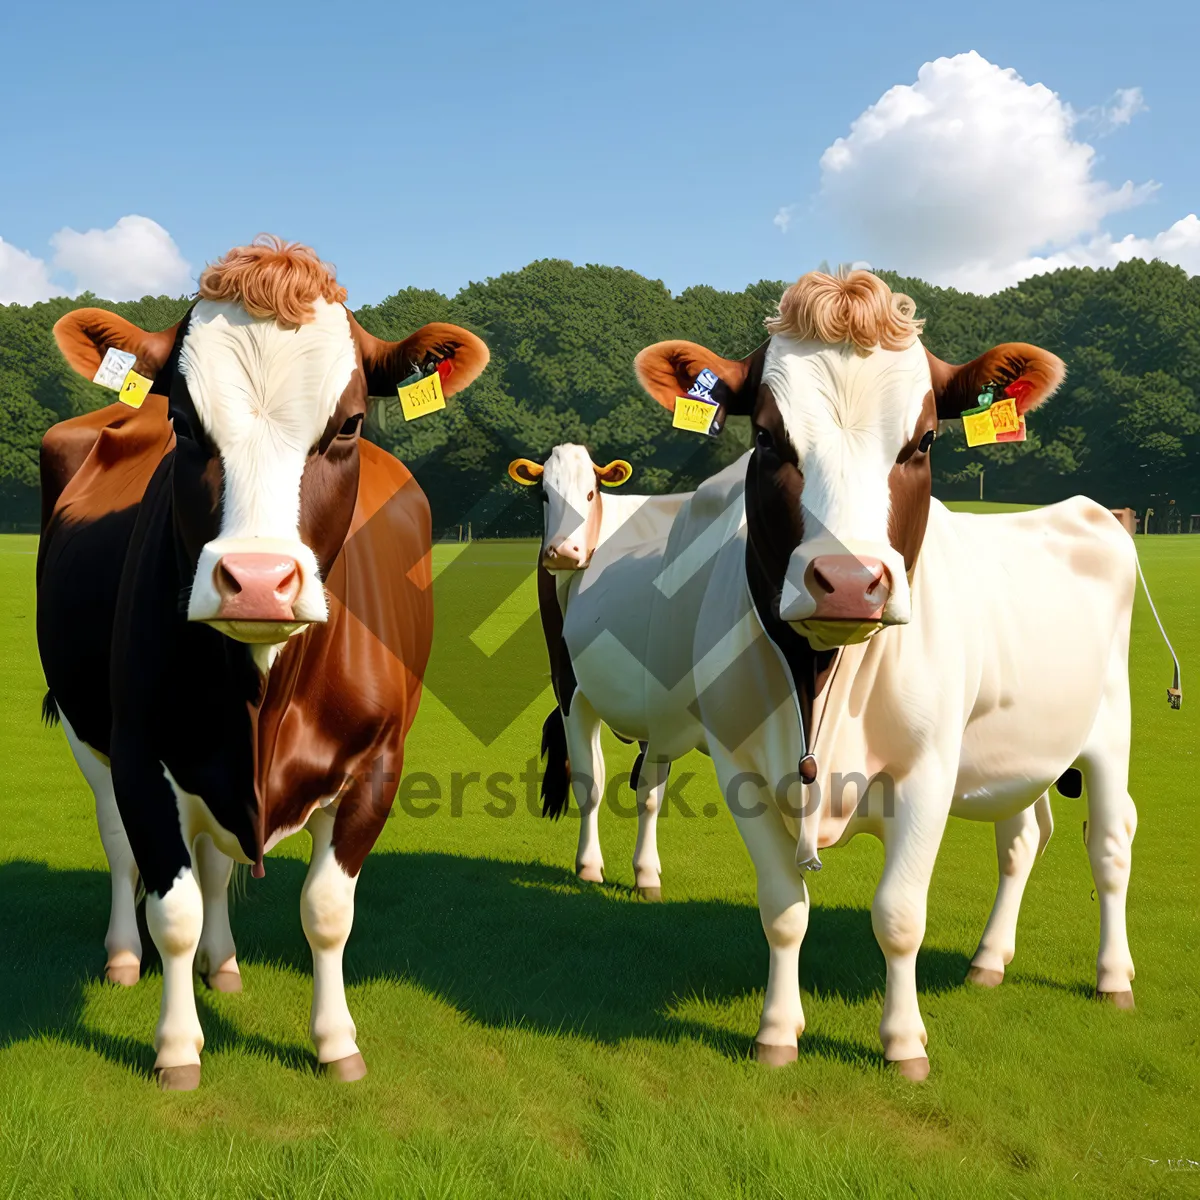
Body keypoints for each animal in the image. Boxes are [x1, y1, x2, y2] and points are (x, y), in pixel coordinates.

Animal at [38, 234, 487, 1089]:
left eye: (348, 425)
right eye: (182, 421)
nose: (255, 579)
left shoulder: (378, 760)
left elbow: (326, 910)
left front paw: (336, 1043)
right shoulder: (141, 753)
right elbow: (170, 909)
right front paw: (177, 1049)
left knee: (216, 865)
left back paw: (225, 965)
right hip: (88, 734)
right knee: (119, 846)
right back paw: (123, 956)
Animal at [633, 270, 1176, 1080]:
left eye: (922, 442)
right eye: (766, 437)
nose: (848, 581)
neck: (818, 678)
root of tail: (1092, 511)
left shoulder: (927, 771)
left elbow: (898, 915)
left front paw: (903, 1043)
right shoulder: (739, 768)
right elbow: (782, 910)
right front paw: (776, 1032)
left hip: (1110, 727)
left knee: (1110, 845)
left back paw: (1113, 977)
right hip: (1010, 750)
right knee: (1021, 839)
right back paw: (989, 960)